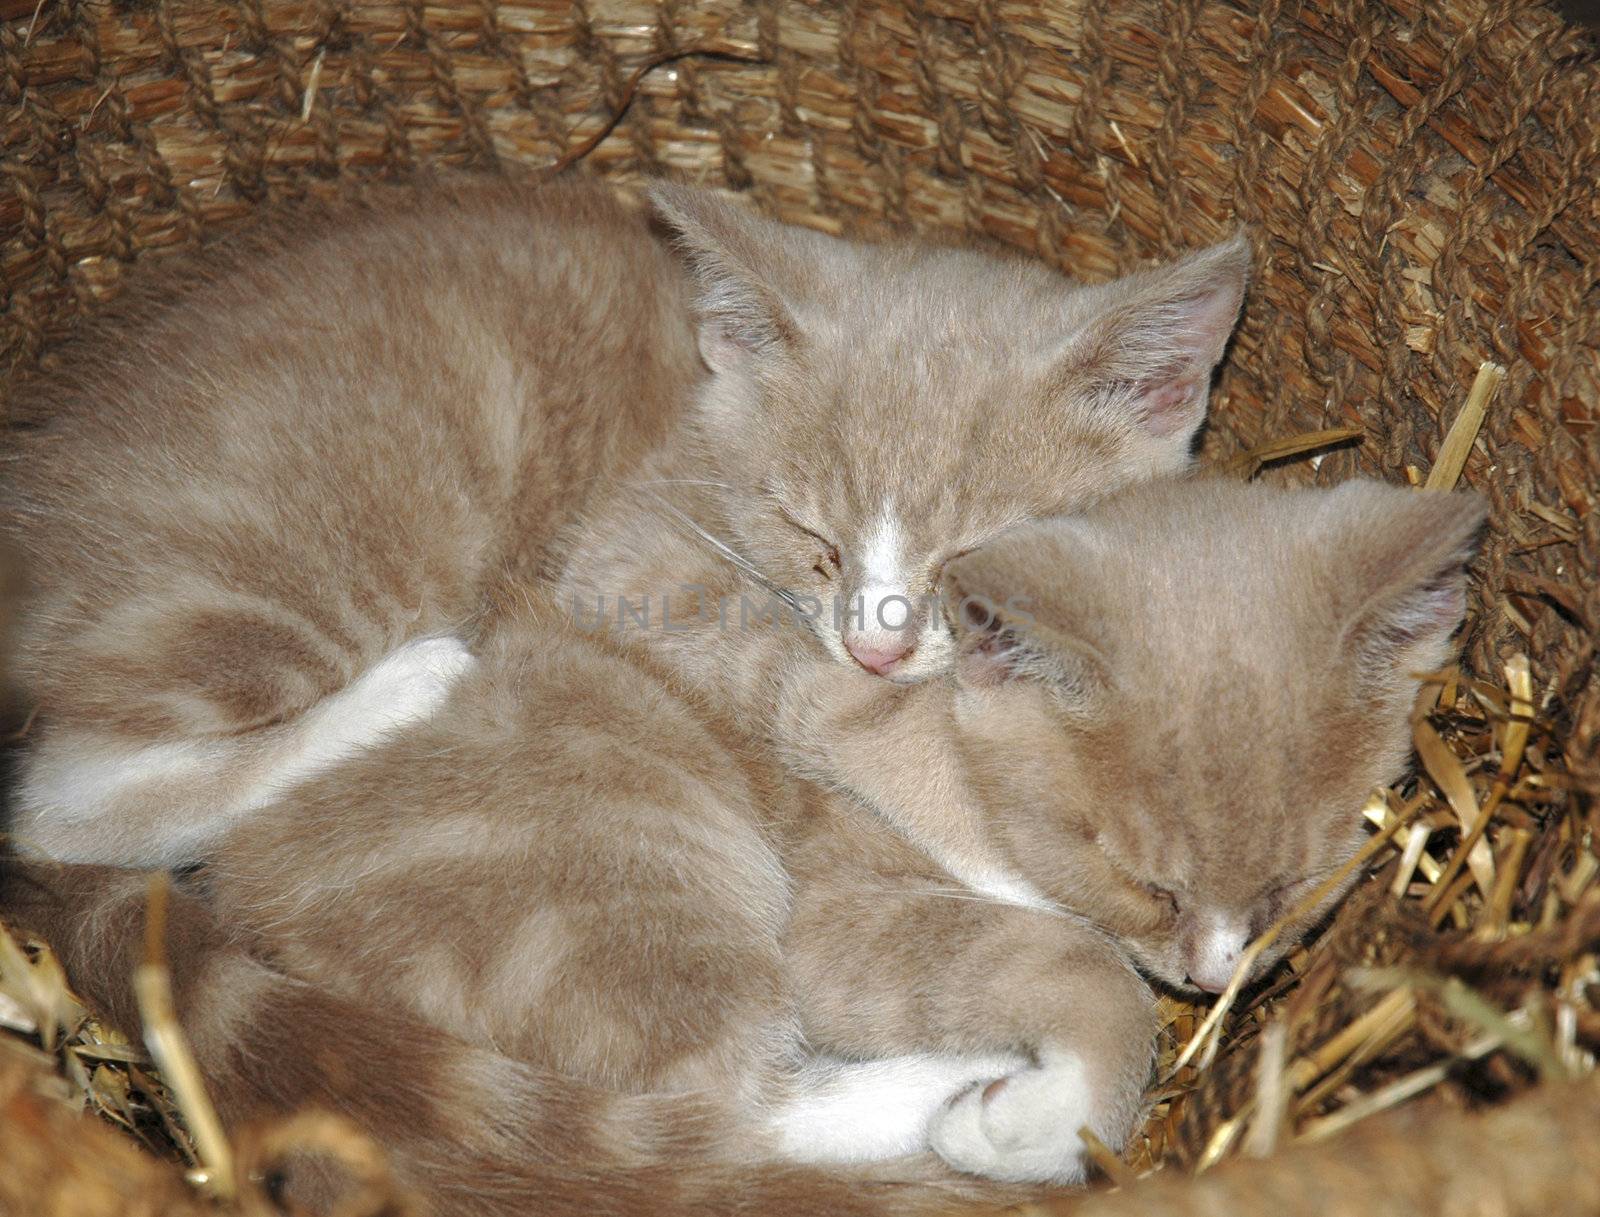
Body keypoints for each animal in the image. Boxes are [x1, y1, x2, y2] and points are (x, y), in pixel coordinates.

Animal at [0, 473, 1478, 1209]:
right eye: (1145, 878)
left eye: (1295, 879)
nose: (1218, 971)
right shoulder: (840, 910)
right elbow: (1073, 971)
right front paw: (1045, 1105)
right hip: (639, 874)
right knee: (714, 1116)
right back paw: (948, 1107)